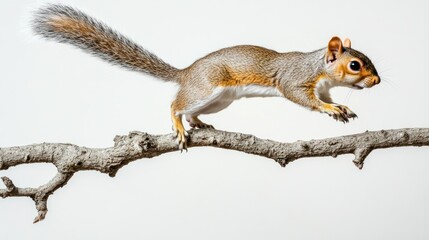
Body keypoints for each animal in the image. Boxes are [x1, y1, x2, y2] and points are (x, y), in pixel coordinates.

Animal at [32, 4, 378, 150]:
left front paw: (341, 108)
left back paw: (199, 124)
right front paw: (330, 109)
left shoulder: (324, 86)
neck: (319, 67)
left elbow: (327, 97)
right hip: (208, 88)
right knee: (175, 106)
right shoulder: (294, 79)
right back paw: (179, 126)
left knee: (191, 111)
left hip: (219, 101)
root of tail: (187, 72)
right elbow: (303, 97)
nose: (376, 82)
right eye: (355, 65)